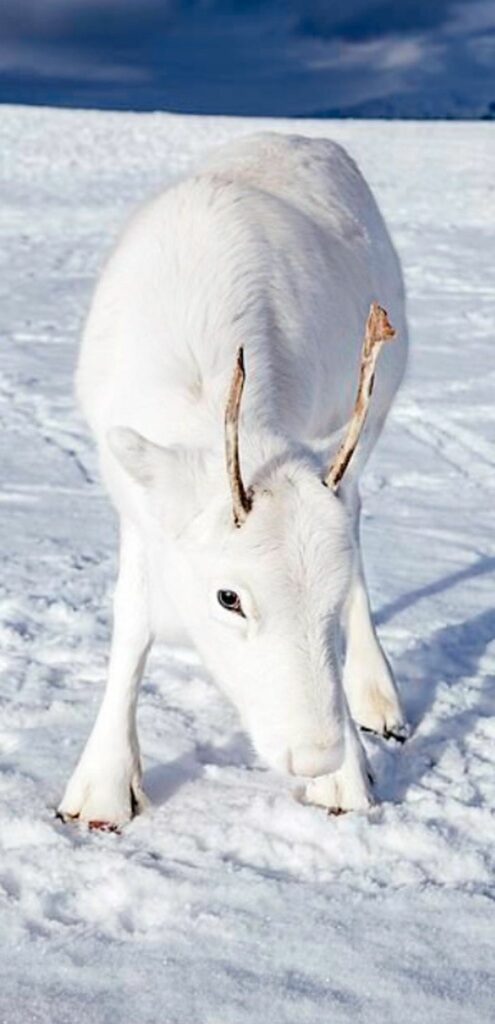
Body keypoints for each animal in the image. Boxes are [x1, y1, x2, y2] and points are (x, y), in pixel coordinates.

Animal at [58, 132, 407, 827]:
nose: (316, 756)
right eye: (229, 598)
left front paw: (347, 780)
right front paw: (103, 788)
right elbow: (132, 617)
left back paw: (378, 696)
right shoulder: (139, 502)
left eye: (327, 597)